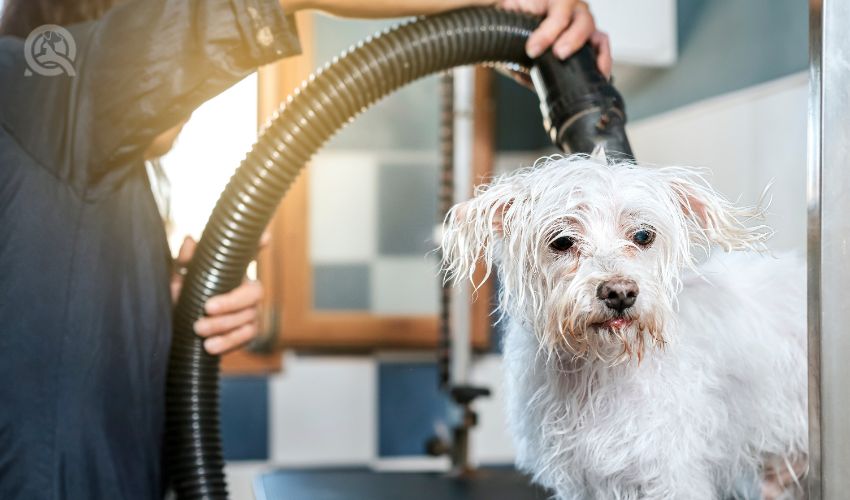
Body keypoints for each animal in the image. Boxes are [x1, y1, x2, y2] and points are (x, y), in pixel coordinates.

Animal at [440, 156, 804, 500]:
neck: (599, 369)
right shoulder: (584, 482)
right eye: (562, 241)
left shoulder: (671, 474)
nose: (620, 293)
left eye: (643, 235)